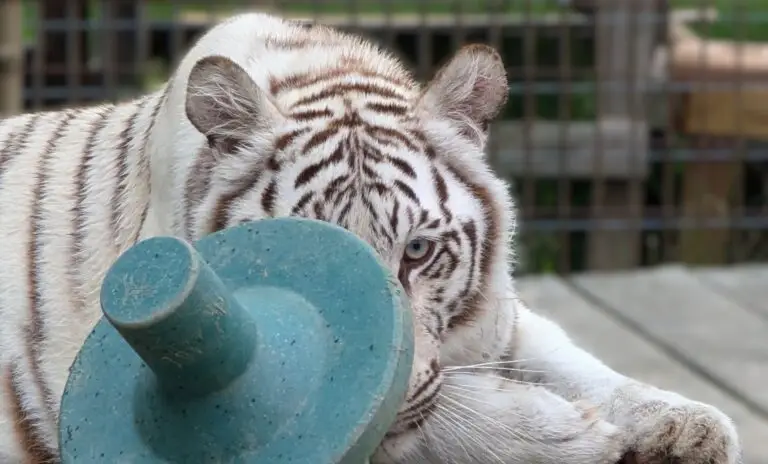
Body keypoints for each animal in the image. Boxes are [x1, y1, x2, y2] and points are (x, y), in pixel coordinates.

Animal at [0, 11, 742, 464]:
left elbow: (573, 359)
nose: (389, 383)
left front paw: (686, 424)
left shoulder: (498, 318)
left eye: (418, 251)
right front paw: (569, 435)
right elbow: (447, 408)